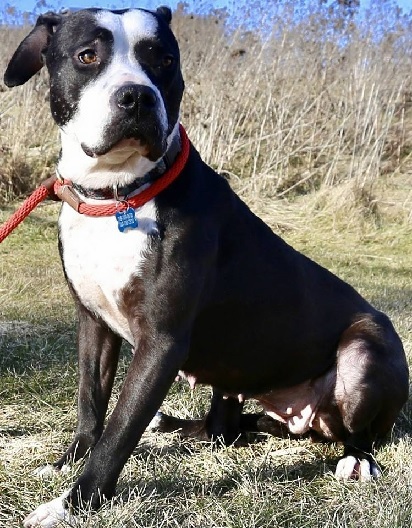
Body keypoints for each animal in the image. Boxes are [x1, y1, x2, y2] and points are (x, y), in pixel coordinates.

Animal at [3, 6, 408, 524]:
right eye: (87, 56)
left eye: (163, 59)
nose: (136, 96)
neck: (117, 196)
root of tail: (307, 419)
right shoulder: (93, 323)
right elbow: (91, 403)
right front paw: (67, 462)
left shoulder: (161, 343)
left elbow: (118, 431)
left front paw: (73, 503)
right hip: (233, 374)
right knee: (223, 429)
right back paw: (177, 424)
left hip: (365, 350)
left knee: (362, 431)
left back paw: (356, 459)